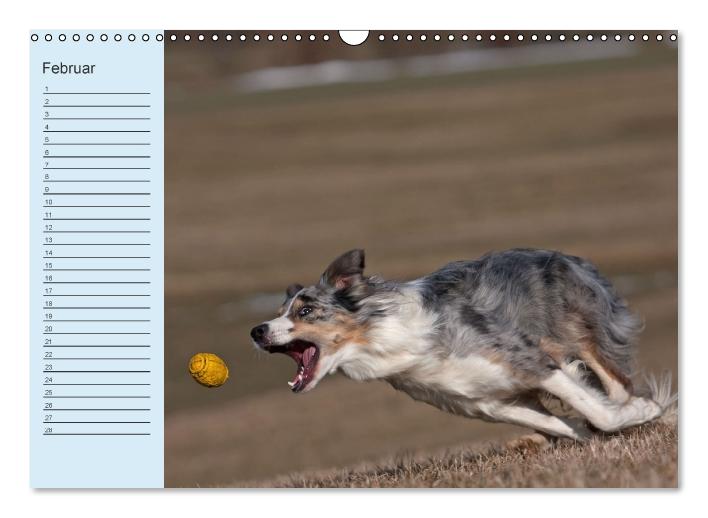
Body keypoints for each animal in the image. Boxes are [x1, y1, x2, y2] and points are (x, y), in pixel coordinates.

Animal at [250, 250, 676, 440]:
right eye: (279, 310)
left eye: (306, 310)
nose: (256, 331)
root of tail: (569, 257)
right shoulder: (485, 402)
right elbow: (562, 424)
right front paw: (591, 436)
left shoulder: (528, 361)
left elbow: (599, 411)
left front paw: (643, 412)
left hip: (581, 333)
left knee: (616, 384)